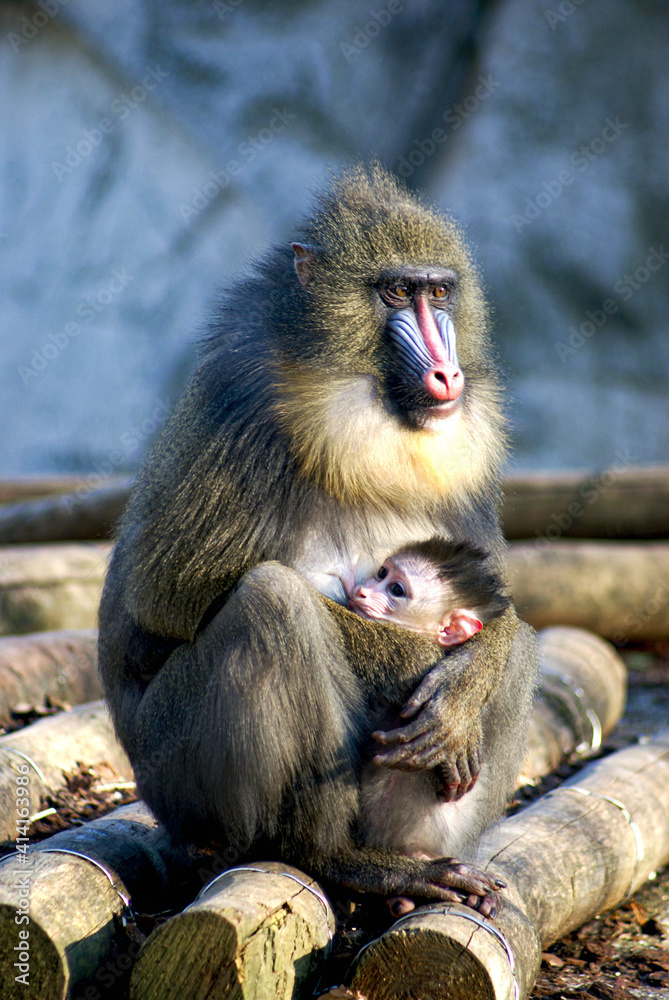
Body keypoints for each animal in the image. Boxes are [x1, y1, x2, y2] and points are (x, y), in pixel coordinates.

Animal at [98, 164, 538, 922]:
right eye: (394, 293)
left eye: (438, 293)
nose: (446, 374)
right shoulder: (243, 395)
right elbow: (168, 601)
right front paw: (416, 661)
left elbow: (496, 604)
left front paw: (467, 676)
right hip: (179, 776)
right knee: (270, 603)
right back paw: (332, 859)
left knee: (524, 646)